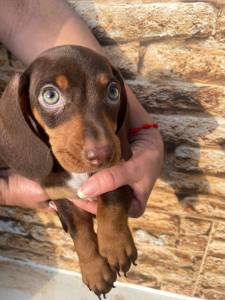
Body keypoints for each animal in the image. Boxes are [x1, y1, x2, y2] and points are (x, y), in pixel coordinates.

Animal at [0, 45, 137, 298]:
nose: (102, 154)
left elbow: (112, 198)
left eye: (113, 91)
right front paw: (95, 270)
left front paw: (115, 244)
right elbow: (80, 233)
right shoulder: (60, 196)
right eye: (50, 95)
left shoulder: (119, 172)